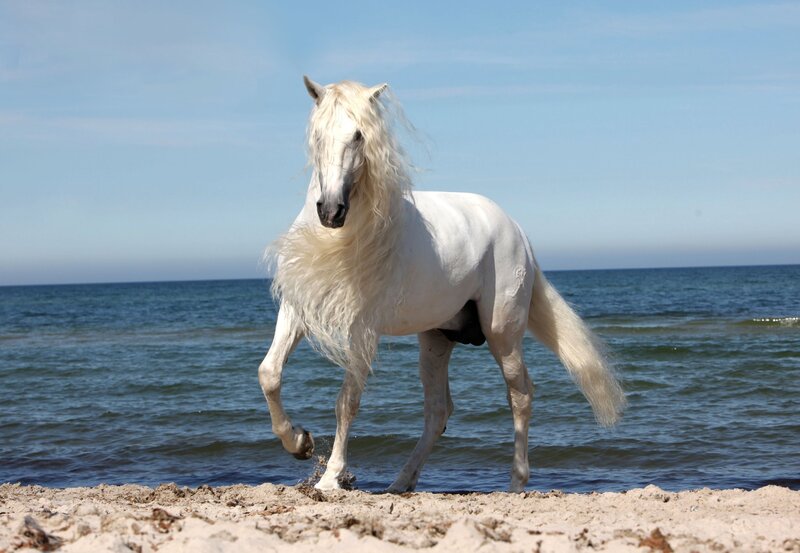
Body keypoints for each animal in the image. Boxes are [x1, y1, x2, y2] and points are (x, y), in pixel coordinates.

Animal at [258, 76, 625, 492]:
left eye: (359, 136)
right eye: (317, 135)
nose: (331, 211)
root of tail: (514, 227)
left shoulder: (363, 329)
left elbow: (346, 401)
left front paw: (331, 478)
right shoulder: (297, 309)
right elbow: (269, 373)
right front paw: (299, 443)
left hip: (502, 333)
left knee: (520, 394)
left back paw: (515, 483)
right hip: (437, 339)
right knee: (438, 411)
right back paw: (401, 483)